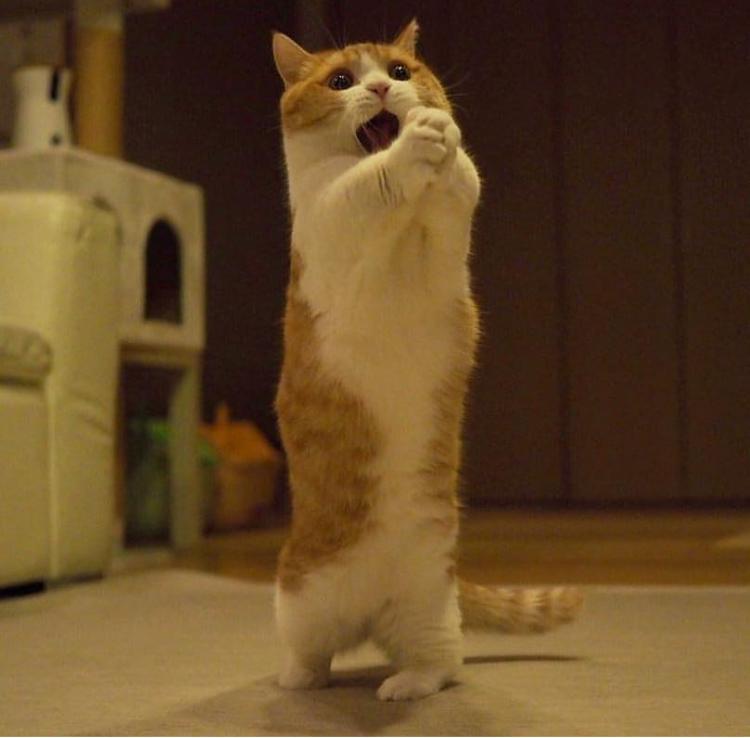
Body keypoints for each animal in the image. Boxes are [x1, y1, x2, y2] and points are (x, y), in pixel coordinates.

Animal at [271, 19, 582, 701]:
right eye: (341, 79)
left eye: (400, 69)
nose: (383, 88)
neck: (405, 220)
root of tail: (366, 614)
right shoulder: (333, 212)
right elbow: (370, 182)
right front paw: (412, 147)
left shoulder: (446, 234)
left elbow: (460, 181)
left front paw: (441, 132)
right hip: (297, 599)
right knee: (313, 657)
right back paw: (296, 680)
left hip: (426, 606)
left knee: (440, 665)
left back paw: (404, 684)